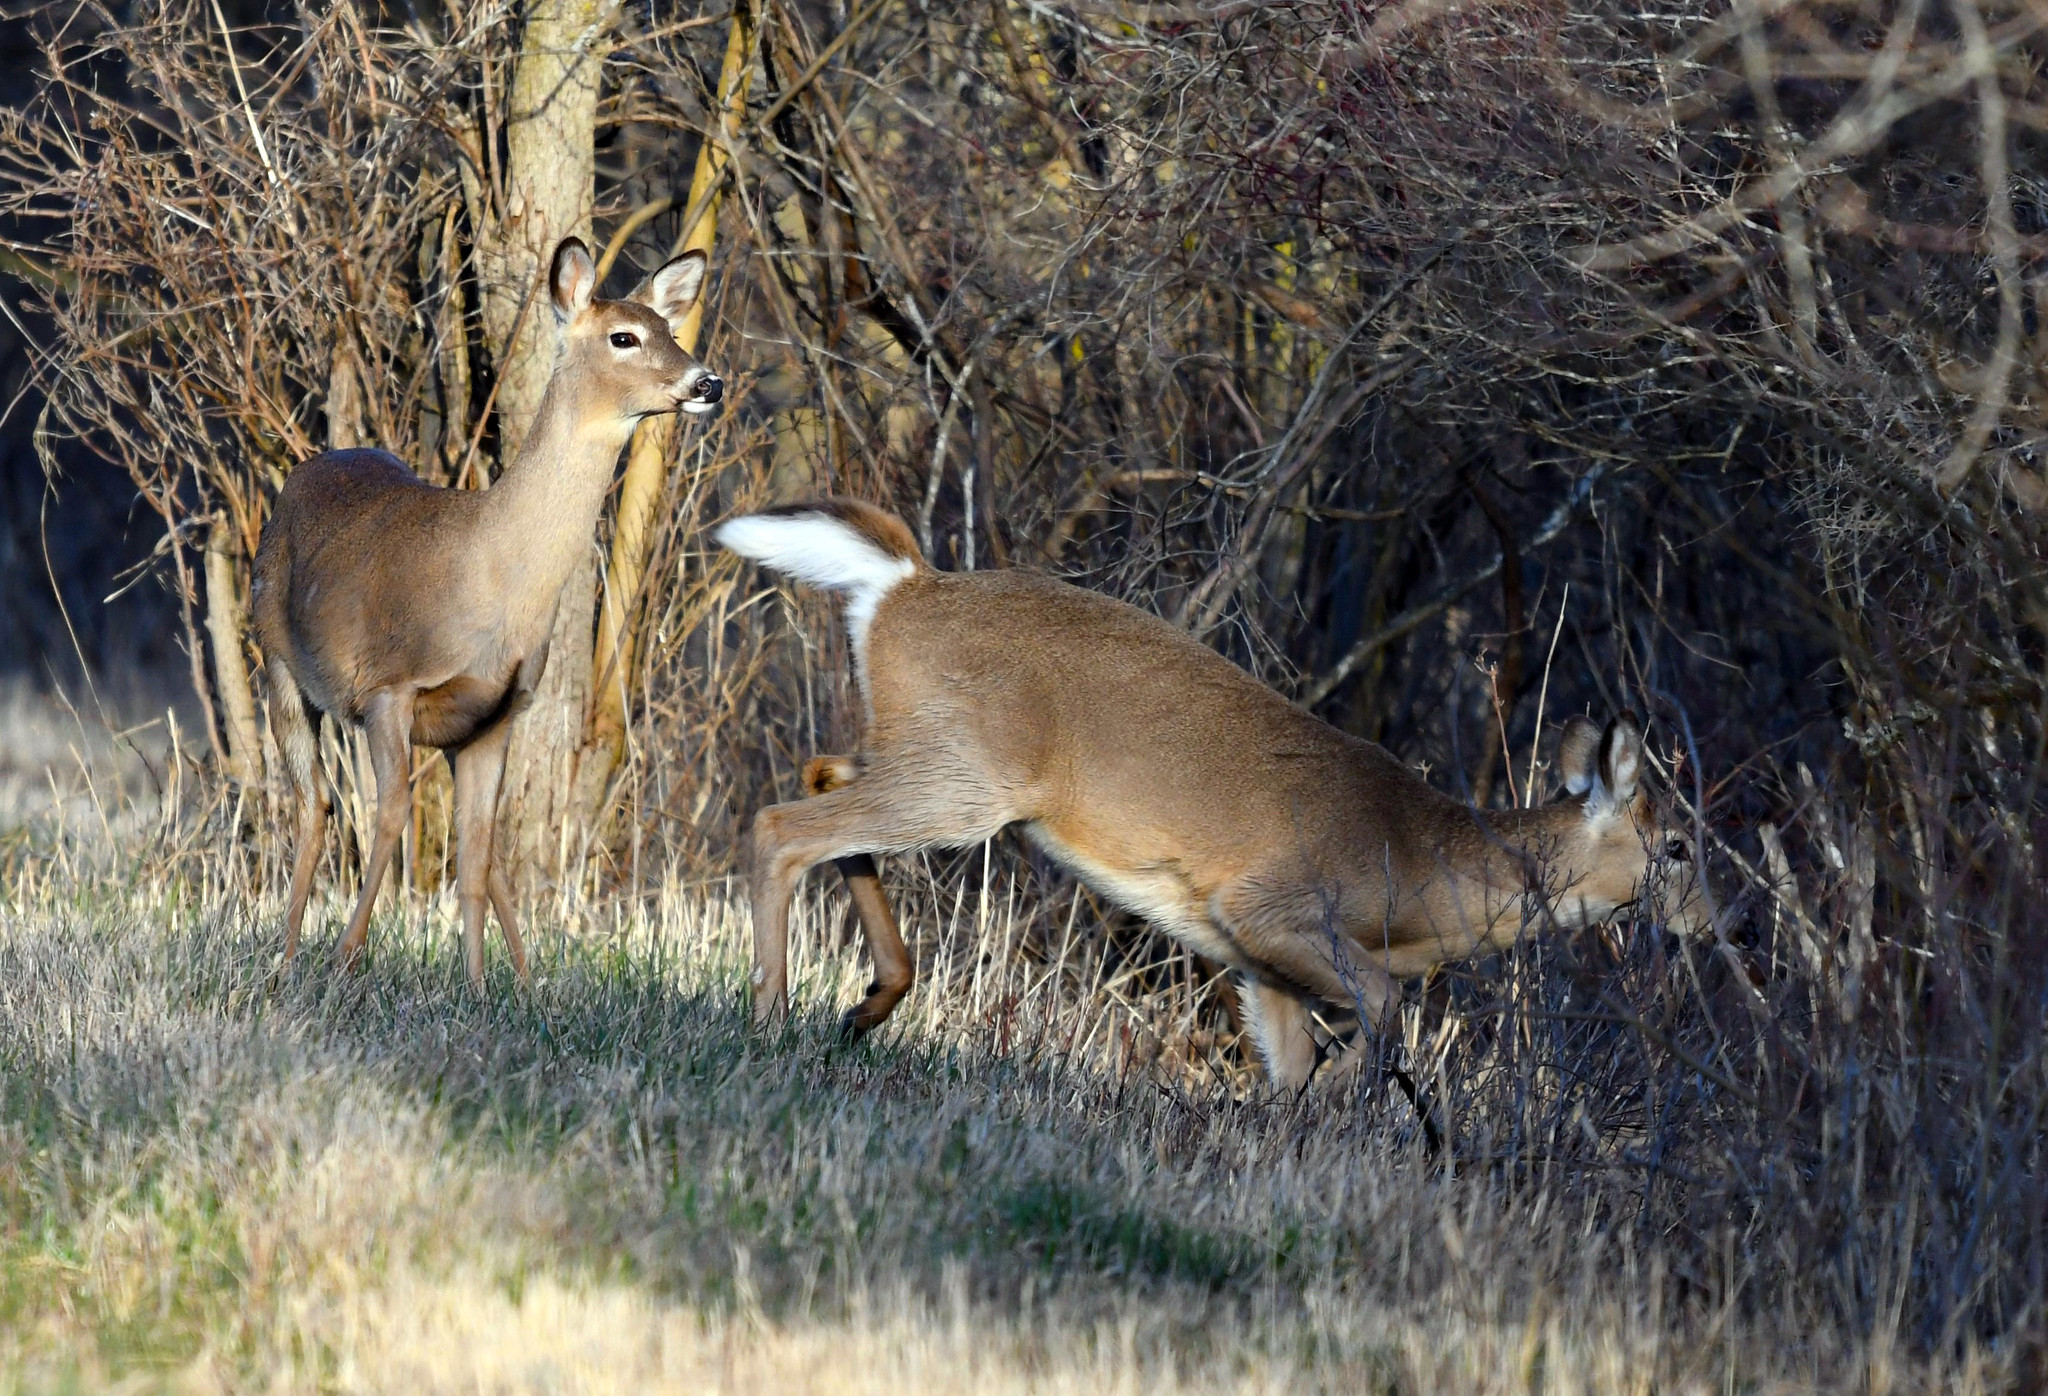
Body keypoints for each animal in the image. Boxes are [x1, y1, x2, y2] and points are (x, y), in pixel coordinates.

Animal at [254, 236, 724, 978]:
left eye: (672, 331)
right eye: (624, 336)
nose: (708, 383)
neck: (494, 577)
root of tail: (307, 467)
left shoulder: (497, 712)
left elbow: (476, 851)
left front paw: (478, 985)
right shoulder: (388, 687)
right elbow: (393, 818)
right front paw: (347, 956)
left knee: (463, 846)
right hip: (276, 658)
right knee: (316, 804)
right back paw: (288, 956)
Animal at [712, 499, 1703, 1088]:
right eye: (1680, 846)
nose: (1721, 922)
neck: (1423, 873)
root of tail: (903, 585)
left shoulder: (1257, 962)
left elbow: (1294, 1071)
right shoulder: (1271, 905)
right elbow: (1381, 1013)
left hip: (931, 756)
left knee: (823, 781)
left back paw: (868, 1005)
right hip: (970, 776)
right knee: (781, 824)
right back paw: (770, 1022)